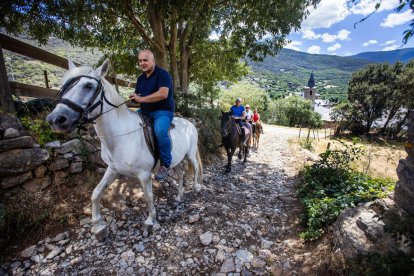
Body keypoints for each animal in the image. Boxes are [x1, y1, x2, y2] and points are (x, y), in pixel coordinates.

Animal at [47, 59, 202, 239]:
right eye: (64, 85)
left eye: (88, 86)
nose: (55, 120)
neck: (121, 136)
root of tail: (189, 123)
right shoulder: (113, 169)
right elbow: (96, 193)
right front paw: (98, 226)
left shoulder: (144, 174)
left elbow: (148, 196)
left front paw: (150, 220)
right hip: (175, 160)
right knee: (181, 175)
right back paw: (178, 197)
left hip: (190, 155)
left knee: (195, 169)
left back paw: (197, 188)